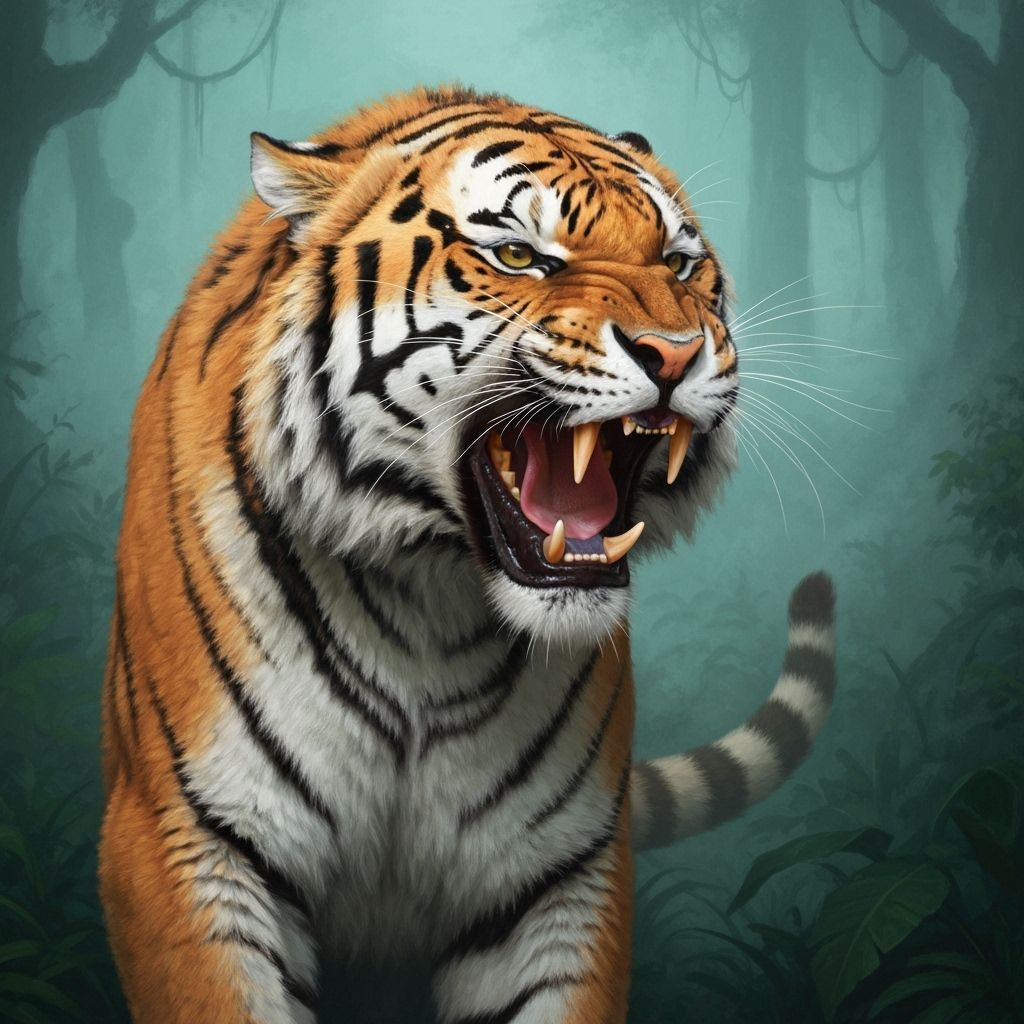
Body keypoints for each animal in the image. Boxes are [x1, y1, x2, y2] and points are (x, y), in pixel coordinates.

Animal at [99, 85, 837, 1024]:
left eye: (677, 264)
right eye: (520, 256)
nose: (675, 353)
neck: (429, 607)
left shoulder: (555, 875)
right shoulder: (185, 840)